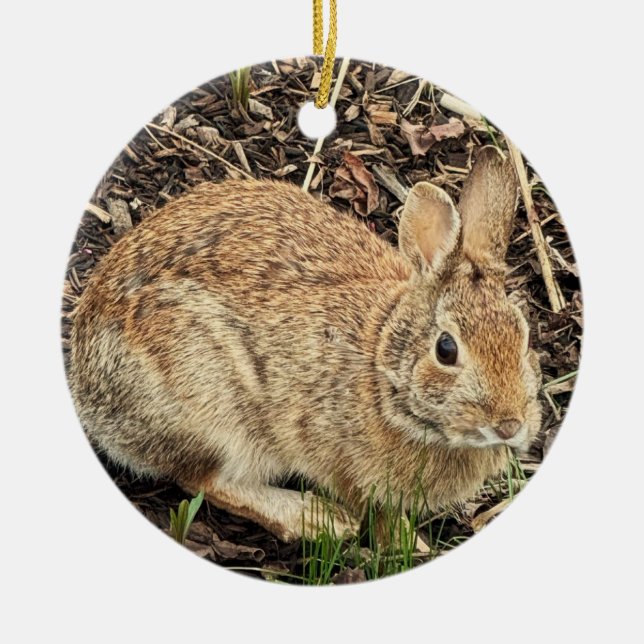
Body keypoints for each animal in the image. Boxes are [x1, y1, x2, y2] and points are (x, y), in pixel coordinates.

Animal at [68, 146, 542, 543]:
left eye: (523, 335)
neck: (381, 368)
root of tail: (89, 399)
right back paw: (317, 520)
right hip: (208, 406)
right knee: (205, 481)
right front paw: (408, 545)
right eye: (446, 349)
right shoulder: (344, 467)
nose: (509, 424)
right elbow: (376, 516)